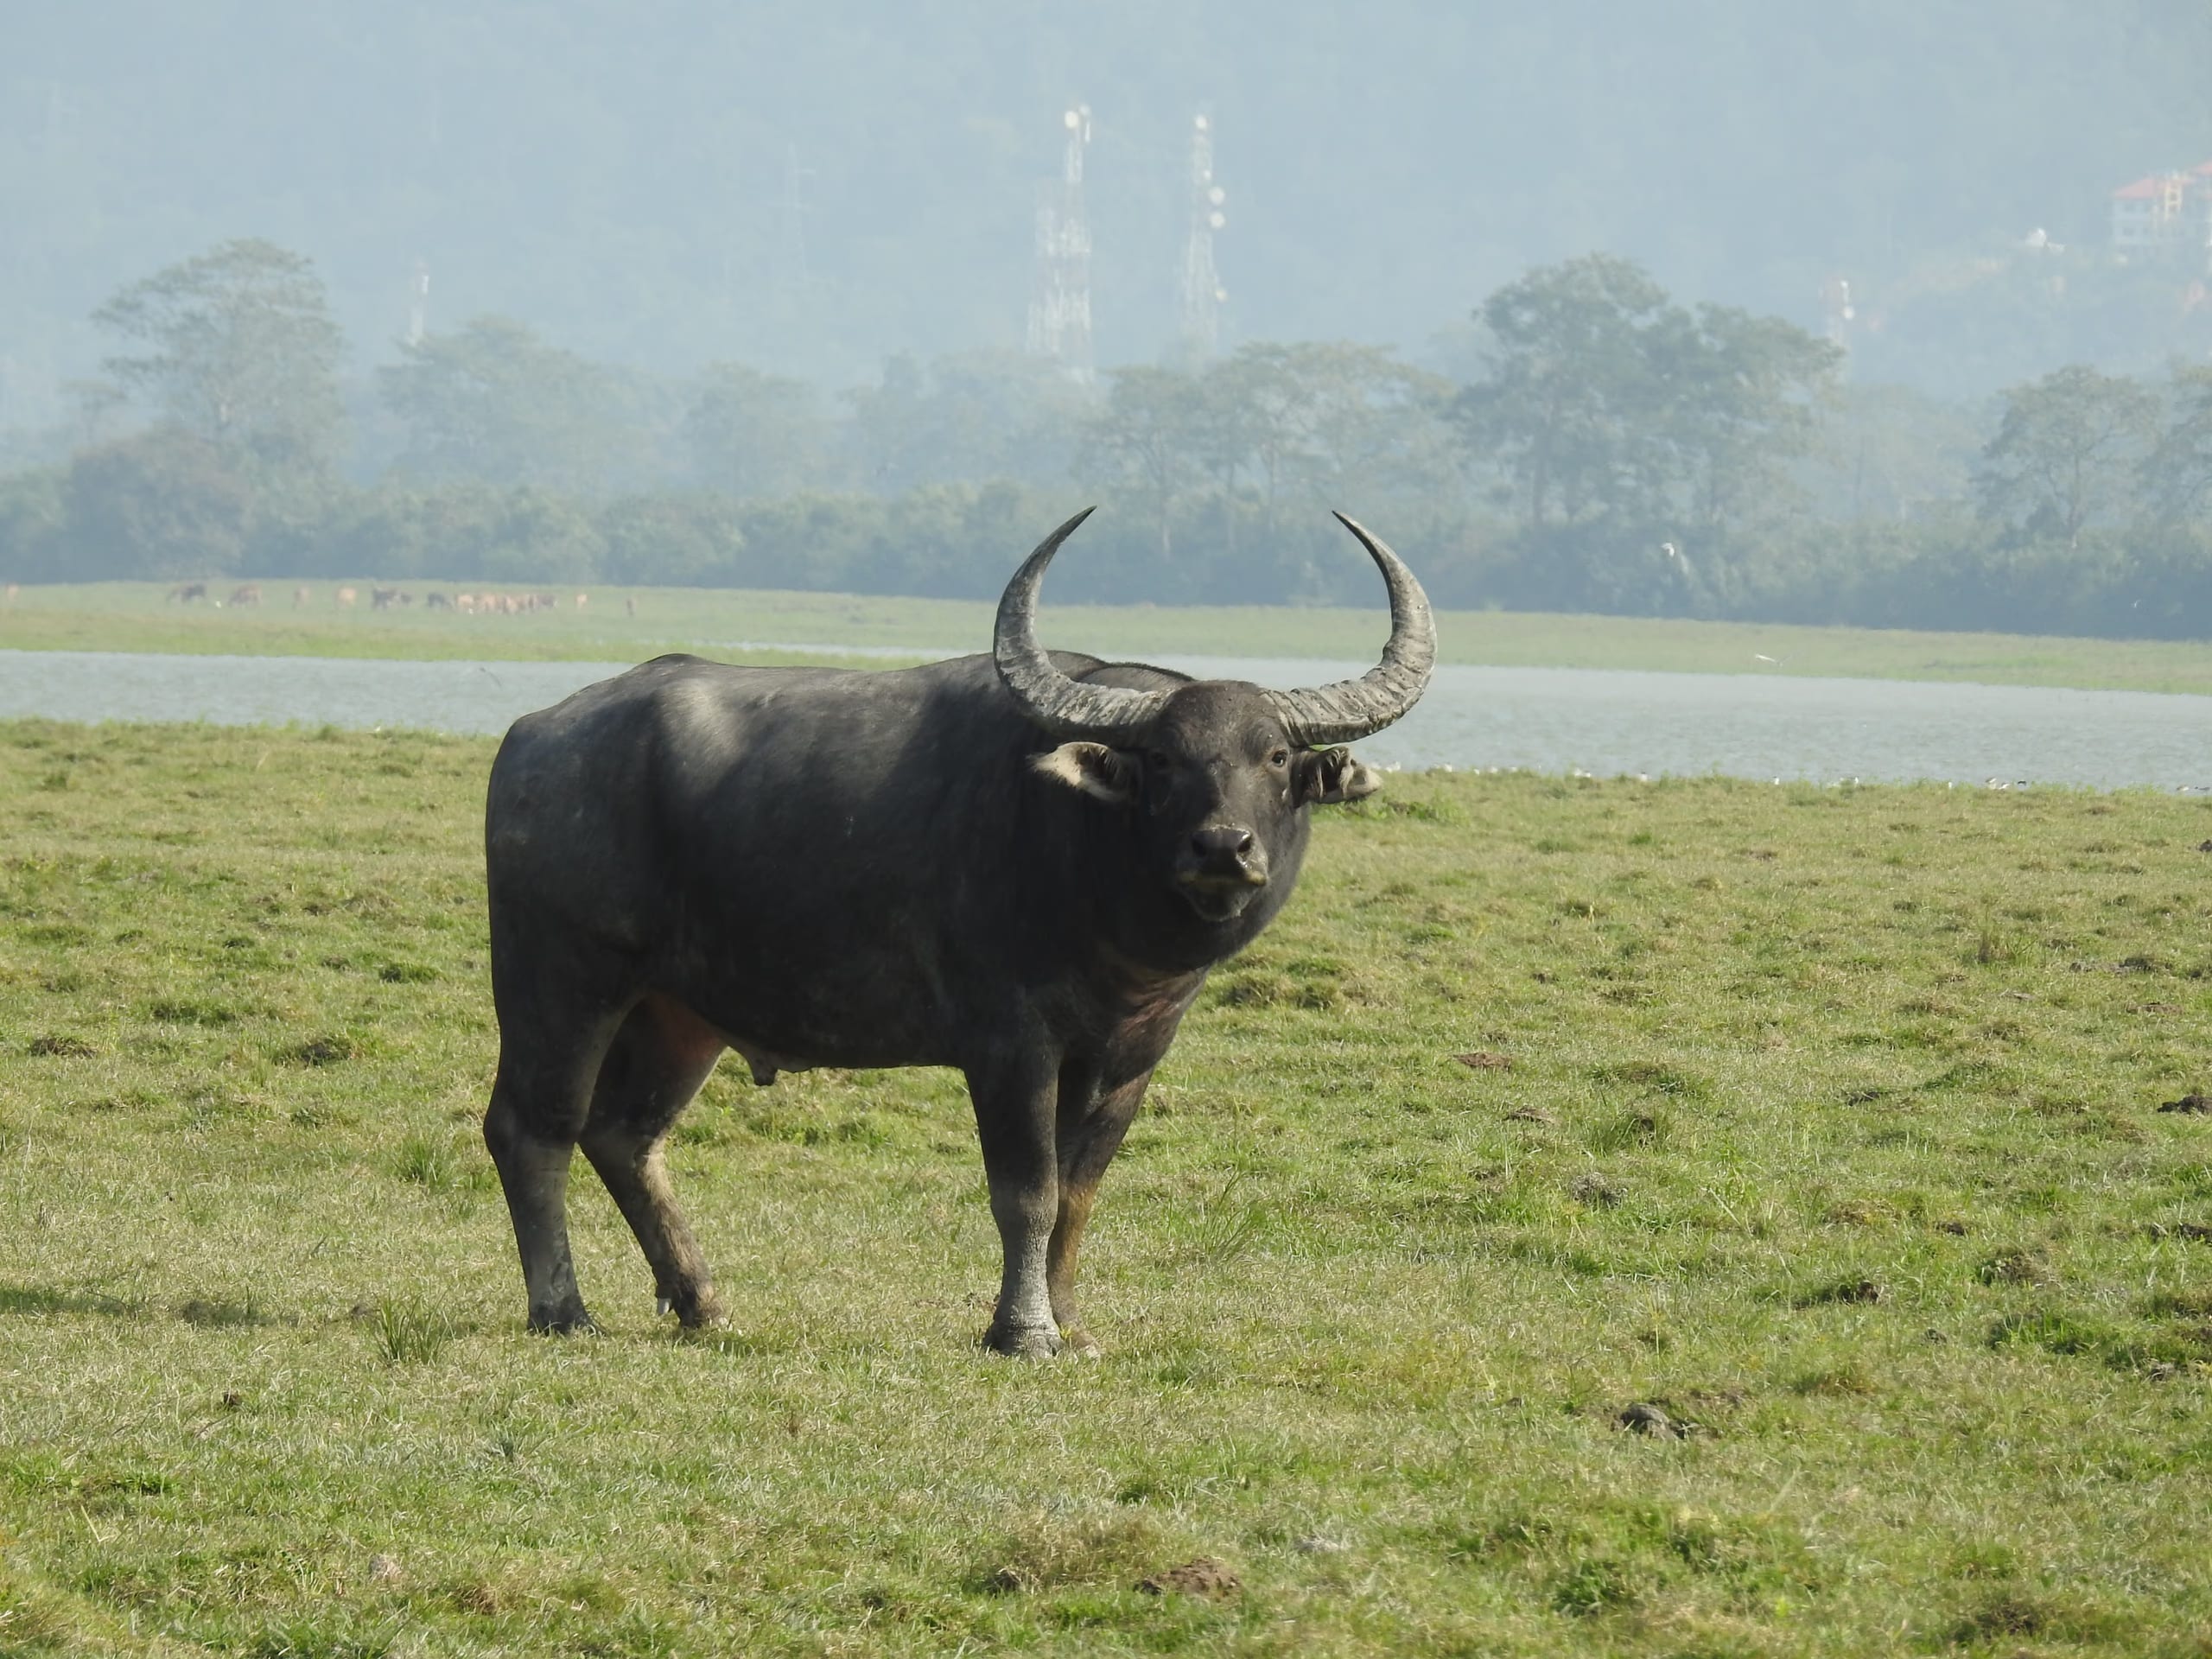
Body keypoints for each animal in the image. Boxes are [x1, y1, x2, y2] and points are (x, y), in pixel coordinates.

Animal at [481, 510, 1434, 1355]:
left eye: (1274, 757)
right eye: (1163, 759)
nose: (1222, 847)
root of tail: (532, 736)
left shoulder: (1131, 1057)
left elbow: (1079, 1193)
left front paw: (1073, 1324)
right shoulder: (1011, 1045)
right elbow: (1027, 1191)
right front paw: (1024, 1331)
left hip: (678, 1014)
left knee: (625, 1136)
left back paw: (701, 1301)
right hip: (559, 983)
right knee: (534, 1129)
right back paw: (564, 1311)